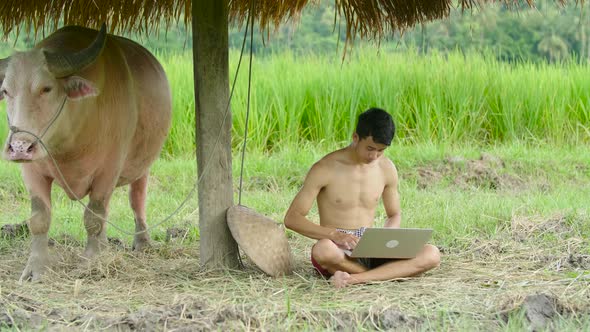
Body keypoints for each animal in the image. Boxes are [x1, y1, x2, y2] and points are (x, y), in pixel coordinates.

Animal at [1, 24, 173, 282]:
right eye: (6, 91)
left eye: (46, 88)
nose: (19, 147)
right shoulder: (32, 170)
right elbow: (39, 219)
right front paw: (35, 268)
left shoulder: (108, 170)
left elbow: (94, 216)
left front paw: (91, 262)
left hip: (143, 165)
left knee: (137, 200)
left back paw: (142, 242)